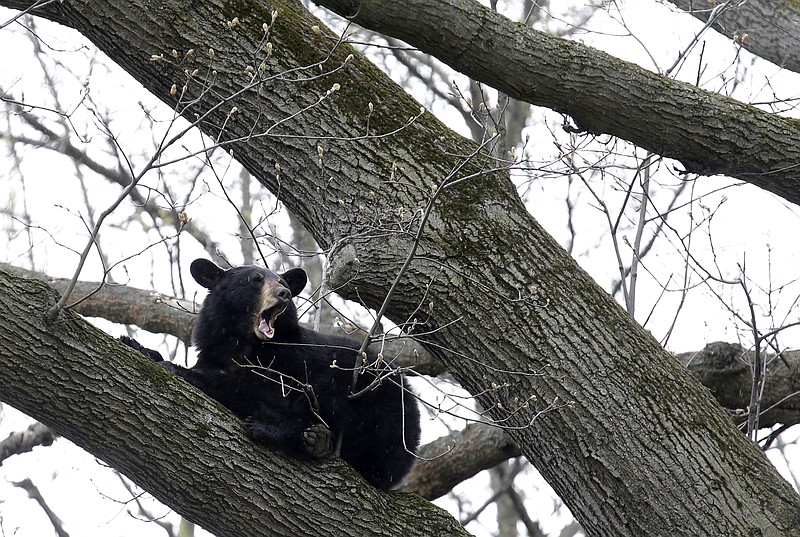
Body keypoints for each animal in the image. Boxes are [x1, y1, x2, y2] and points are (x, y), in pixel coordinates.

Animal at [123, 258, 421, 490]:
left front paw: (180, 370)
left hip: (378, 408)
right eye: (255, 279)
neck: (243, 343)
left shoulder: (292, 361)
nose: (284, 293)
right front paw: (138, 346)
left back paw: (297, 436)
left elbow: (258, 389)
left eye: (283, 282)